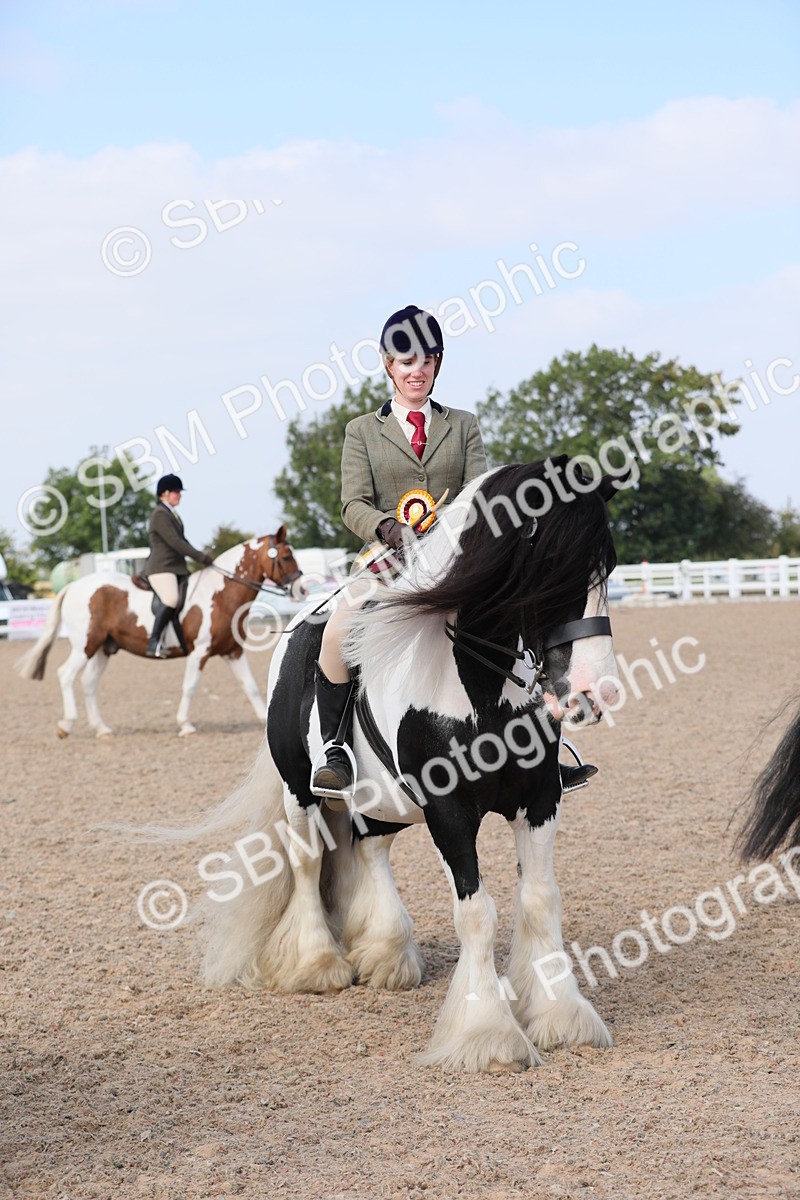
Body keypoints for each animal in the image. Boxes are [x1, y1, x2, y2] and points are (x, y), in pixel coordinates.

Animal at [14, 528, 304, 738]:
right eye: (286, 556)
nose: (301, 589)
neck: (221, 594)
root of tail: (73, 586)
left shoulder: (232, 652)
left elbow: (251, 687)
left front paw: (265, 721)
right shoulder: (199, 652)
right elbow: (190, 686)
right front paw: (185, 725)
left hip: (103, 649)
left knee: (88, 683)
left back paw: (102, 729)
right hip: (85, 645)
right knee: (66, 675)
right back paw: (66, 725)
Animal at [188, 459, 624, 1073]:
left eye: (608, 566)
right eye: (551, 568)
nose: (594, 691)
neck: (474, 682)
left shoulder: (539, 799)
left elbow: (541, 901)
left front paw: (560, 1015)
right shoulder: (448, 811)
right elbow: (478, 913)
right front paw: (487, 1034)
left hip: (380, 802)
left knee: (370, 849)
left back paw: (387, 953)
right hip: (302, 792)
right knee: (306, 862)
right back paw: (316, 965)